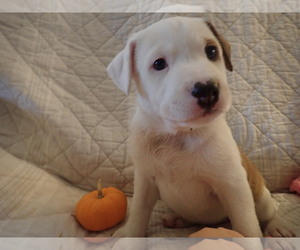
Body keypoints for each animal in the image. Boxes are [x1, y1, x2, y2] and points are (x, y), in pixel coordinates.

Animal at [106, 16, 294, 242]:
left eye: (211, 51)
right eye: (159, 64)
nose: (207, 89)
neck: (179, 134)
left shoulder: (233, 185)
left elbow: (247, 226)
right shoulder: (145, 180)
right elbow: (138, 212)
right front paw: (129, 233)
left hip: (261, 198)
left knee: (269, 212)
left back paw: (277, 225)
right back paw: (178, 219)